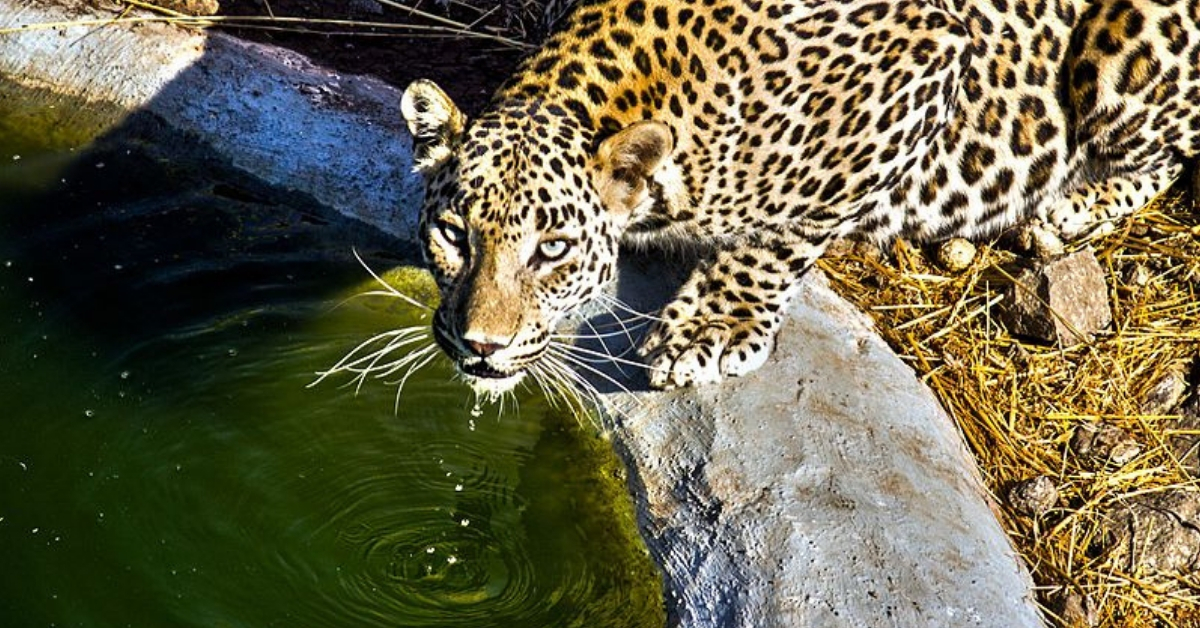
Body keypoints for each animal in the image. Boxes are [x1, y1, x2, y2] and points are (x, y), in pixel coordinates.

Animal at [400, 0, 1200, 393]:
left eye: (553, 250)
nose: (480, 346)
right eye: (454, 235)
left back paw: (1064, 211)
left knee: (1171, 155)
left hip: (1119, 56)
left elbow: (783, 233)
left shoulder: (923, 56)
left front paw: (710, 329)